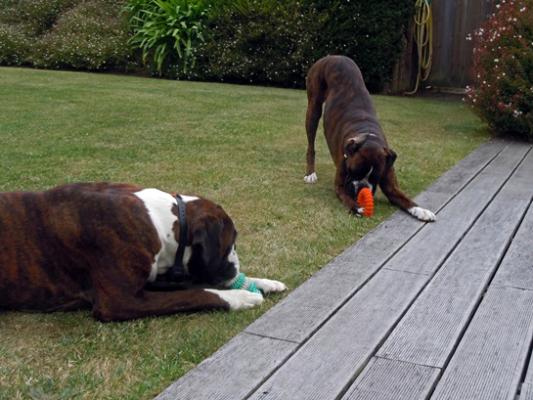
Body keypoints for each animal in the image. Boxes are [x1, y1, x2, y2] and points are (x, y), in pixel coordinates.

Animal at [0, 182, 286, 322]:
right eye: (232, 242)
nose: (236, 267)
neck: (163, 222)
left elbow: (192, 287)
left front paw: (263, 282)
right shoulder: (120, 301)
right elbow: (196, 294)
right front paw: (241, 297)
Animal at [304, 55, 436, 222]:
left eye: (375, 177)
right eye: (353, 171)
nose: (362, 188)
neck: (368, 134)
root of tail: (333, 56)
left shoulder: (390, 185)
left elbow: (405, 199)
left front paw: (421, 210)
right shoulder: (340, 185)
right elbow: (346, 196)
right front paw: (357, 206)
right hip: (313, 109)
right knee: (311, 145)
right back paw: (310, 174)